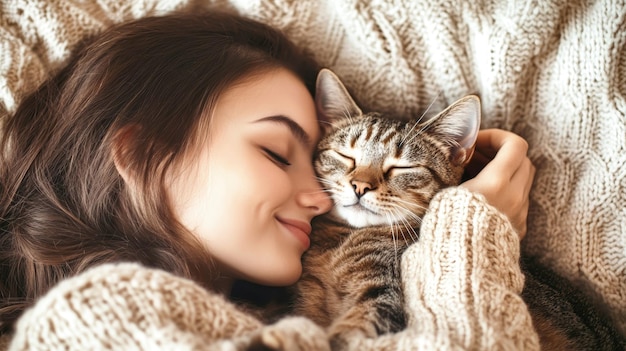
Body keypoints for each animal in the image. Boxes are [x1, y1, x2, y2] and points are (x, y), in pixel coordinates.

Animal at [286, 69, 620, 351]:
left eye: (402, 167)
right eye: (346, 156)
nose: (359, 186)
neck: (339, 245)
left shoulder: (386, 299)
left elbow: (351, 333)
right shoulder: (310, 295)